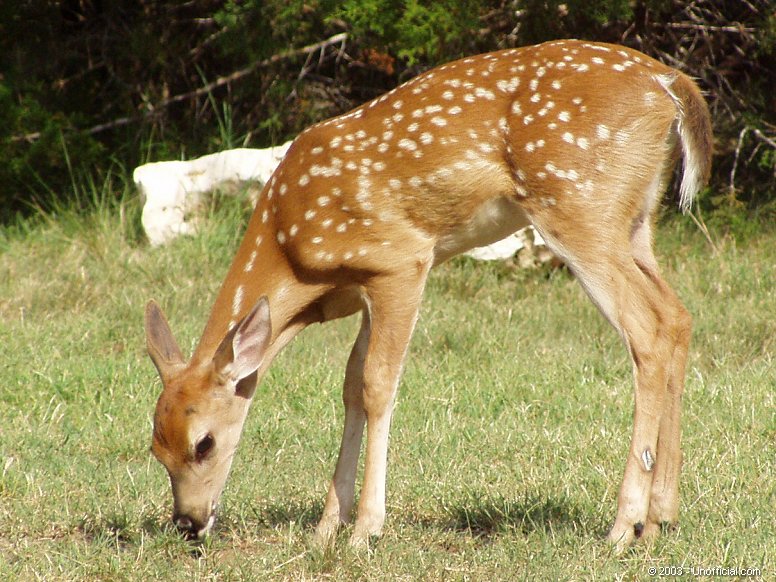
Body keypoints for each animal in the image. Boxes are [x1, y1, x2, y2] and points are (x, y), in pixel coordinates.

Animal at [142, 40, 712, 552]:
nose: (188, 523)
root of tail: (669, 84)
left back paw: (623, 526)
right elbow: (350, 385)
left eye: (204, 442)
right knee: (677, 317)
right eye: (155, 448)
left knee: (647, 329)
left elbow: (377, 383)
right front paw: (326, 528)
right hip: (635, 222)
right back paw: (660, 519)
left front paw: (365, 530)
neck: (293, 252)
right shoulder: (366, 286)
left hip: (578, 205)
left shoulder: (402, 260)